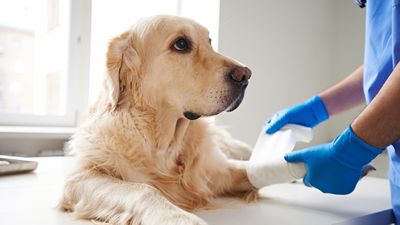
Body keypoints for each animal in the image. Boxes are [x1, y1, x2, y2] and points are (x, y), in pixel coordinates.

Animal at [60, 14, 256, 224]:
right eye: (181, 44)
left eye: (209, 42)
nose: (245, 75)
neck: (164, 144)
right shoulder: (81, 176)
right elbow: (144, 189)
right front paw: (179, 217)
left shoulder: (215, 170)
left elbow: (251, 171)